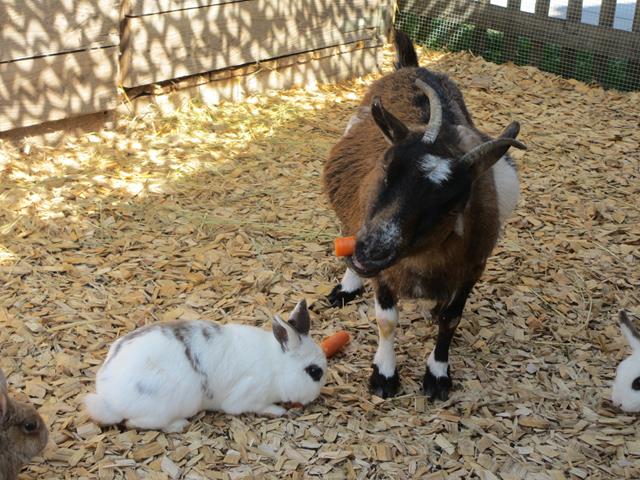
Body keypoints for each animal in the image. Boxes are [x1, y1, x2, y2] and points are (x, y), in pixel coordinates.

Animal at [322, 31, 526, 400]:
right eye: (386, 166)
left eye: (452, 202)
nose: (372, 250)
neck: (421, 260)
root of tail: (411, 67)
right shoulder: (383, 271)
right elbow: (386, 319)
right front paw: (384, 375)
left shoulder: (473, 267)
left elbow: (452, 319)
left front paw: (438, 374)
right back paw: (347, 285)